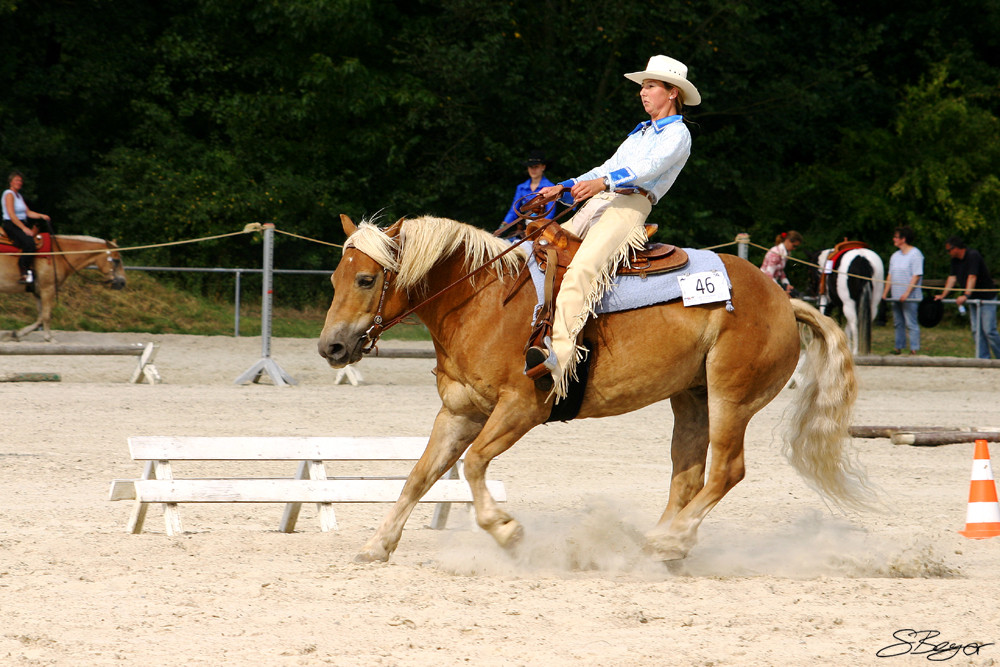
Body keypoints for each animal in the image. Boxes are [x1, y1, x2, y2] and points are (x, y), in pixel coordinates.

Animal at [320, 214, 876, 564]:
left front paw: (506, 530)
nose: (331, 346)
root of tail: (782, 299)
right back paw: (658, 541)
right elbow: (420, 476)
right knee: (687, 476)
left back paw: (671, 542)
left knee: (726, 471)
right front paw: (377, 545)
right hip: (691, 399)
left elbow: (474, 464)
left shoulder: (521, 408)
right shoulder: (458, 413)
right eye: (333, 279)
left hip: (730, 398)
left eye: (367, 279)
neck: (484, 301)